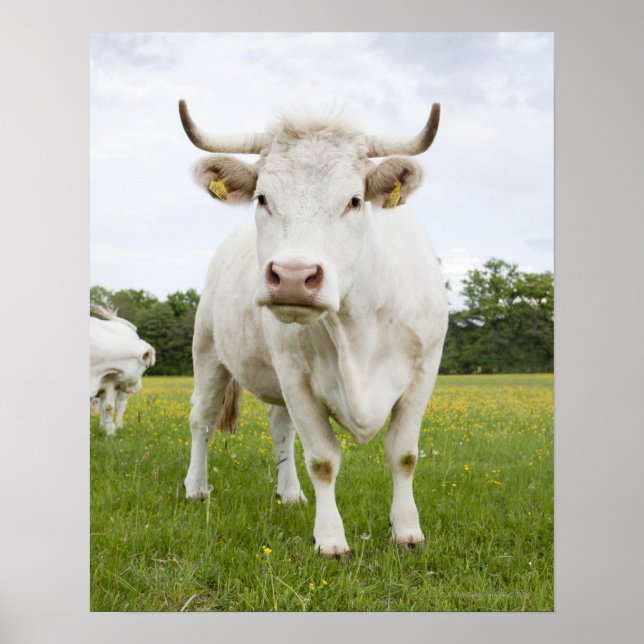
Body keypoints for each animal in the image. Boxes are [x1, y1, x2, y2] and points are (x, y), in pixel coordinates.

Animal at [90, 305, 156, 435]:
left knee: (119, 405)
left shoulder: (111, 382)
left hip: (120, 392)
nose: (138, 388)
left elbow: (109, 407)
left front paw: (110, 432)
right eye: (146, 366)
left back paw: (118, 426)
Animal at [179, 100, 448, 556]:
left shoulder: (423, 371)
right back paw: (196, 488)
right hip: (208, 349)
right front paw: (331, 539)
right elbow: (322, 460)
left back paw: (289, 493)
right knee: (203, 417)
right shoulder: (295, 375)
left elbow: (404, 455)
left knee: (280, 427)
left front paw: (408, 531)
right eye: (262, 197)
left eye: (354, 200)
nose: (292, 276)